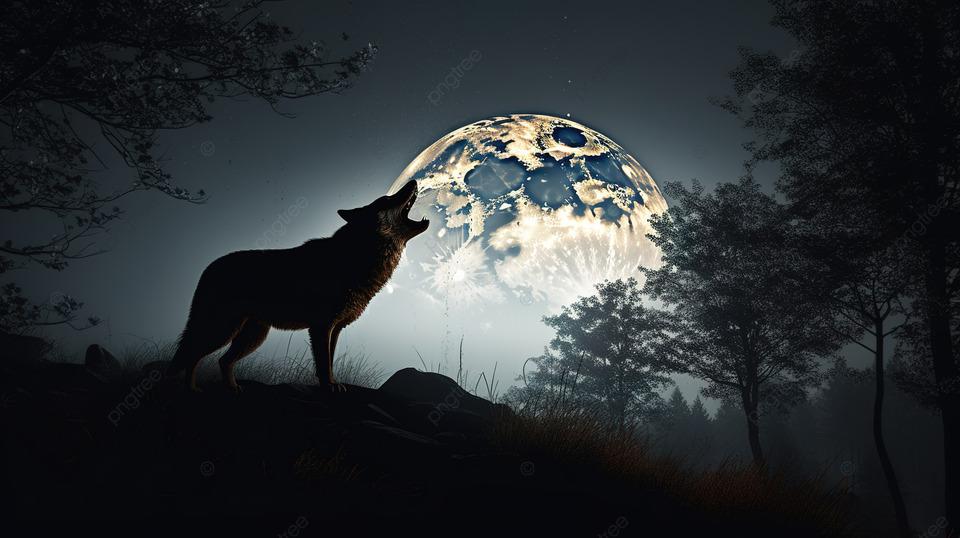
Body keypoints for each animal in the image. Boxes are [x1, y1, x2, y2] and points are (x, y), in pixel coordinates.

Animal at [166, 180, 429, 393]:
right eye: (388, 199)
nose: (414, 180)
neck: (356, 257)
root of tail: (209, 267)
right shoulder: (322, 326)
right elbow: (323, 363)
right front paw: (328, 386)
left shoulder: (336, 328)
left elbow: (330, 360)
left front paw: (334, 383)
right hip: (222, 330)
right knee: (191, 355)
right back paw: (191, 389)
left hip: (253, 336)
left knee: (221, 360)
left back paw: (230, 389)